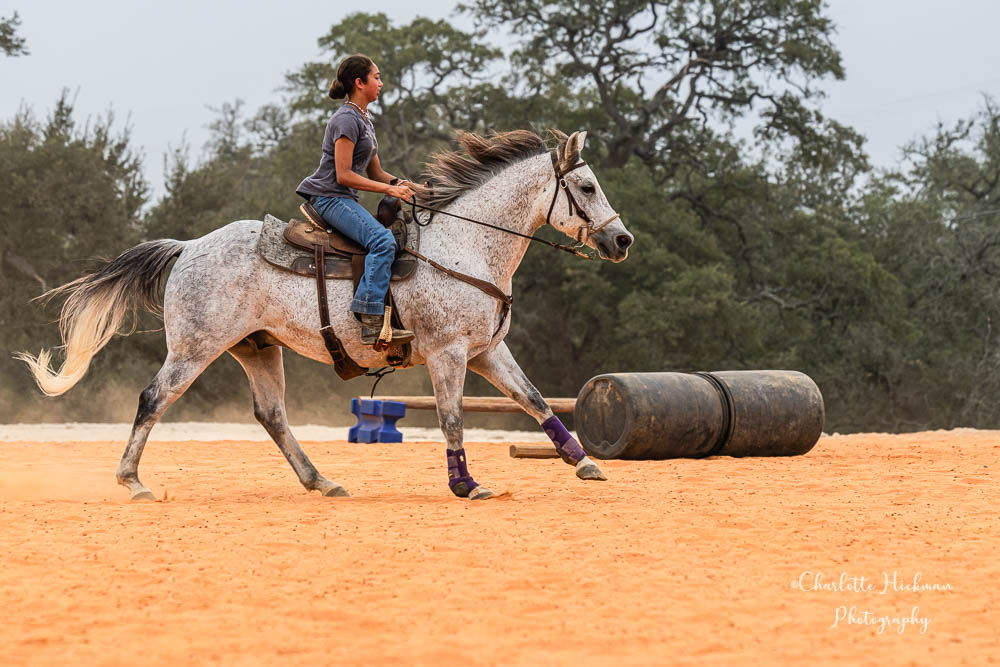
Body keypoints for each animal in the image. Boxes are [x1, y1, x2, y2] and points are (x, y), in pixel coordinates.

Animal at [17, 129, 634, 501]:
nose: (622, 240)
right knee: (153, 398)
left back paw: (322, 481)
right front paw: (466, 485)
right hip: (195, 347)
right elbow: (453, 418)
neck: (467, 247)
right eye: (585, 186)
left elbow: (534, 400)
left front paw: (584, 462)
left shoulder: (487, 351)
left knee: (271, 415)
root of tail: (189, 246)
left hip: (257, 348)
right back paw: (133, 481)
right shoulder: (449, 354)